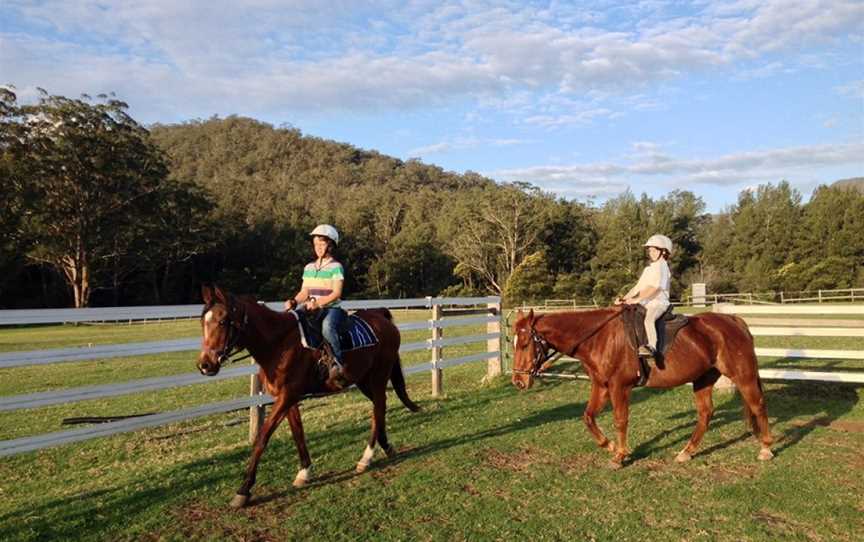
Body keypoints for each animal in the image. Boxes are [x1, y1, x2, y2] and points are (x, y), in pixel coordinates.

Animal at [199, 284, 422, 510]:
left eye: (222, 321)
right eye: (203, 321)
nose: (205, 365)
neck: (279, 344)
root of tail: (382, 316)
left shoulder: (286, 397)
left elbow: (262, 437)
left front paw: (243, 490)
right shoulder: (289, 399)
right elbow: (298, 433)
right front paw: (304, 472)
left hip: (378, 377)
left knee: (378, 409)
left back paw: (366, 458)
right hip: (364, 380)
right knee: (380, 408)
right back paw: (385, 447)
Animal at [510, 308, 772, 470]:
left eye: (524, 343)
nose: (518, 381)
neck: (599, 338)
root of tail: (733, 320)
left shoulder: (619, 387)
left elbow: (620, 420)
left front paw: (619, 455)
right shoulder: (601, 386)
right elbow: (588, 417)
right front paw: (610, 446)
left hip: (743, 376)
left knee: (758, 404)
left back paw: (766, 448)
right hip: (703, 379)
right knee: (706, 414)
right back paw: (686, 451)